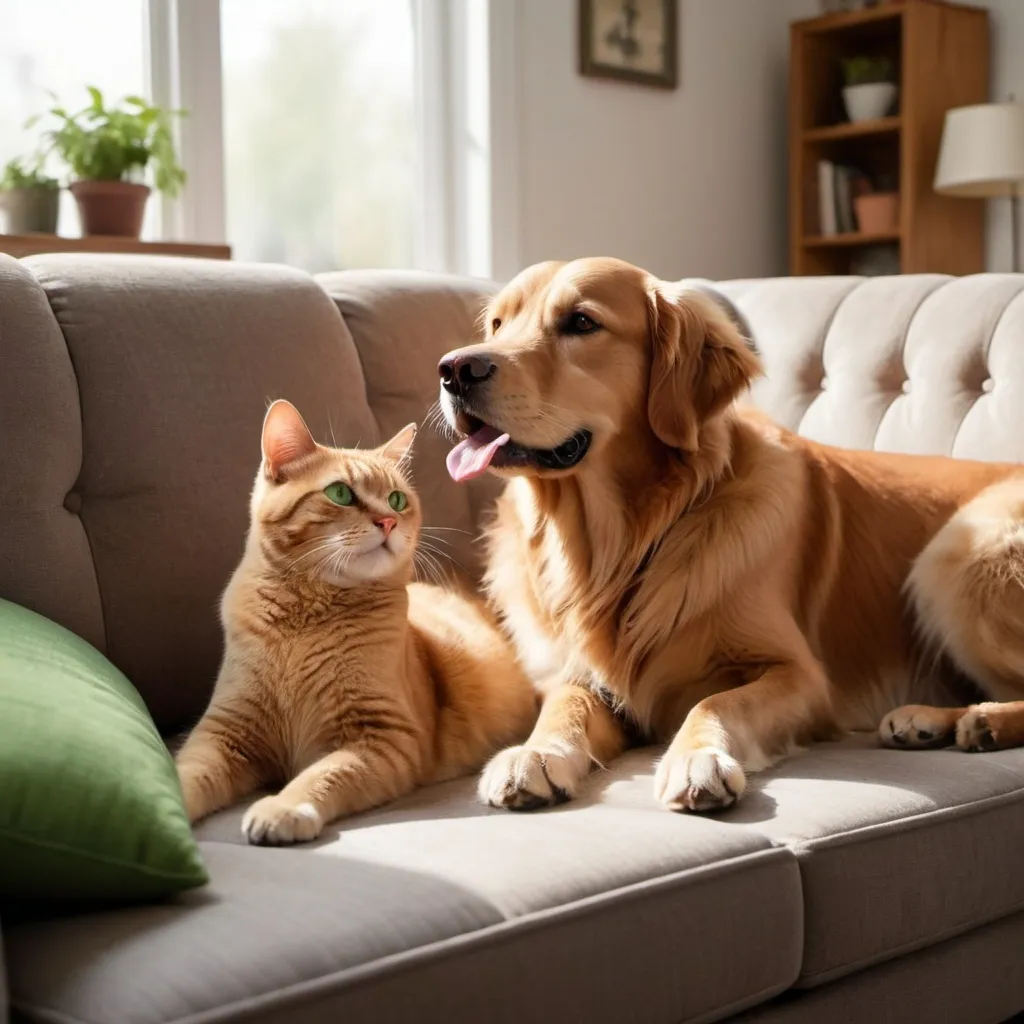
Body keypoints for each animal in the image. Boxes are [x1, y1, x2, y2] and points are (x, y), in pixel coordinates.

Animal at [175, 403, 536, 843]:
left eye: (396, 500)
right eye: (341, 494)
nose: (388, 522)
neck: (306, 623)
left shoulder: (382, 737)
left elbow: (321, 775)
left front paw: (282, 807)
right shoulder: (224, 732)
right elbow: (185, 773)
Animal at [438, 258, 1024, 815]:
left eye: (581, 323)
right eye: (498, 324)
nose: (454, 370)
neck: (624, 544)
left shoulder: (803, 677)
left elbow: (717, 701)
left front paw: (696, 758)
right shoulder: (584, 675)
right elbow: (565, 705)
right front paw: (535, 753)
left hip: (957, 556)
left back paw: (982, 722)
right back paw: (926, 720)